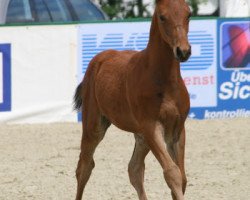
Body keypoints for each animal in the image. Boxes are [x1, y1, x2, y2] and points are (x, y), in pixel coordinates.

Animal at [74, 0, 191, 200]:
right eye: (162, 16)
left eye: (188, 14)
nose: (183, 51)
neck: (165, 82)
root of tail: (99, 59)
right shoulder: (152, 127)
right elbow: (172, 173)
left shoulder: (177, 129)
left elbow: (182, 178)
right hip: (94, 127)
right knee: (84, 166)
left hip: (141, 135)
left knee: (134, 169)